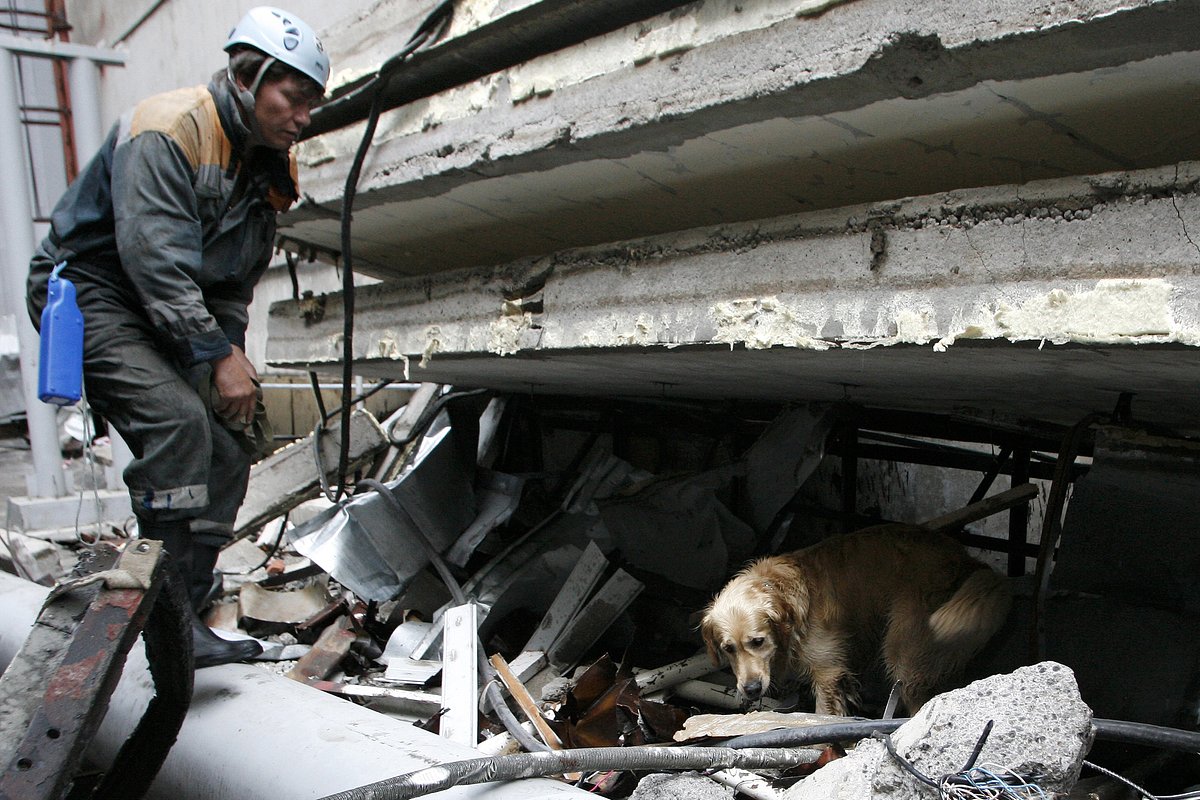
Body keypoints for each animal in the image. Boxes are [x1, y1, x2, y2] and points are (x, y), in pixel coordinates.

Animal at [700, 522, 1008, 714]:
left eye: (758, 641)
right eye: (728, 649)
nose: (751, 690)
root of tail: (966, 559)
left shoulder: (829, 671)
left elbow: (823, 715)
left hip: (903, 649)